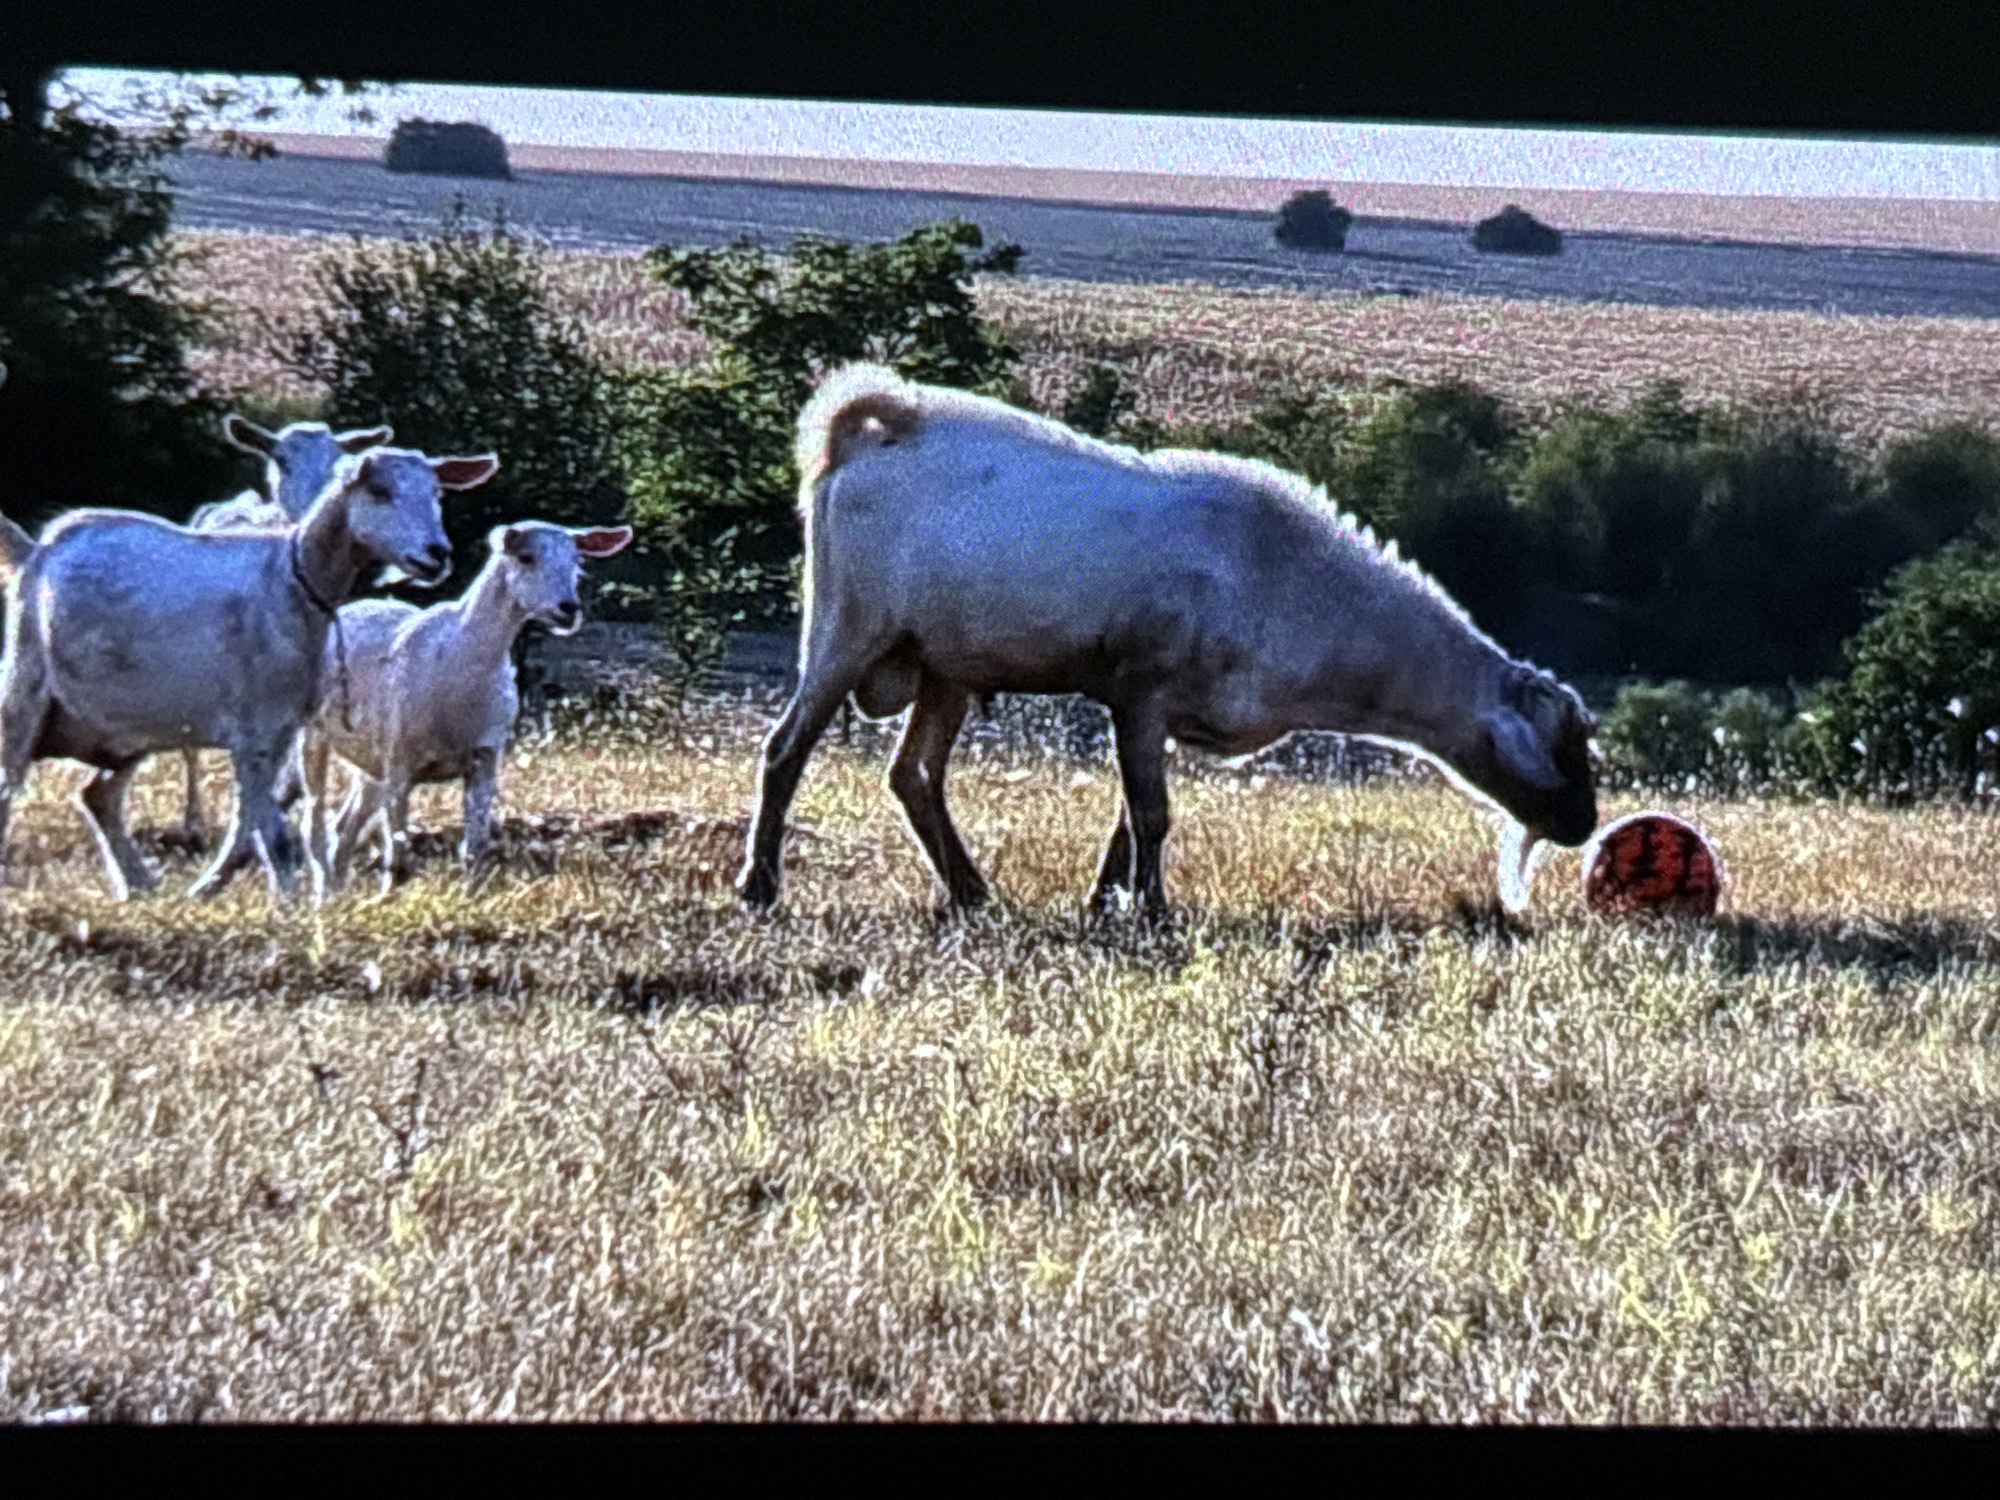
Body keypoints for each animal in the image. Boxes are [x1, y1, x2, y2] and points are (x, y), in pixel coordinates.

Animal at [0, 447, 498, 902]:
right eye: (379, 490)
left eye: (436, 493)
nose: (436, 554)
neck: (290, 582)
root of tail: (35, 550)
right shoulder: (252, 732)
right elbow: (274, 837)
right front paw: (291, 911)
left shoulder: (277, 732)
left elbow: (255, 828)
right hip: (25, 687)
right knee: (11, 784)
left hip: (125, 726)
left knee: (98, 796)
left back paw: (141, 886)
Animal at [297, 520, 633, 893]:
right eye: (526, 557)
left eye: (577, 561)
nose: (568, 608)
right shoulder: (400, 755)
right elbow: (397, 855)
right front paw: (389, 895)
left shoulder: (485, 754)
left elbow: (474, 846)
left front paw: (469, 895)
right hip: (316, 733)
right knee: (315, 822)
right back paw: (322, 895)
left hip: (368, 758)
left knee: (344, 826)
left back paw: (338, 890)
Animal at [738, 362, 1599, 918]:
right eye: (1562, 749)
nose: (1586, 826)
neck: (1305, 594)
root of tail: (865, 438)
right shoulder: (1140, 691)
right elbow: (1151, 813)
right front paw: (1151, 909)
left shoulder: (1165, 716)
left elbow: (1129, 813)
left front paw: (1105, 901)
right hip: (847, 627)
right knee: (786, 751)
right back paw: (760, 886)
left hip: (945, 663)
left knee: (914, 776)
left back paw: (972, 893)